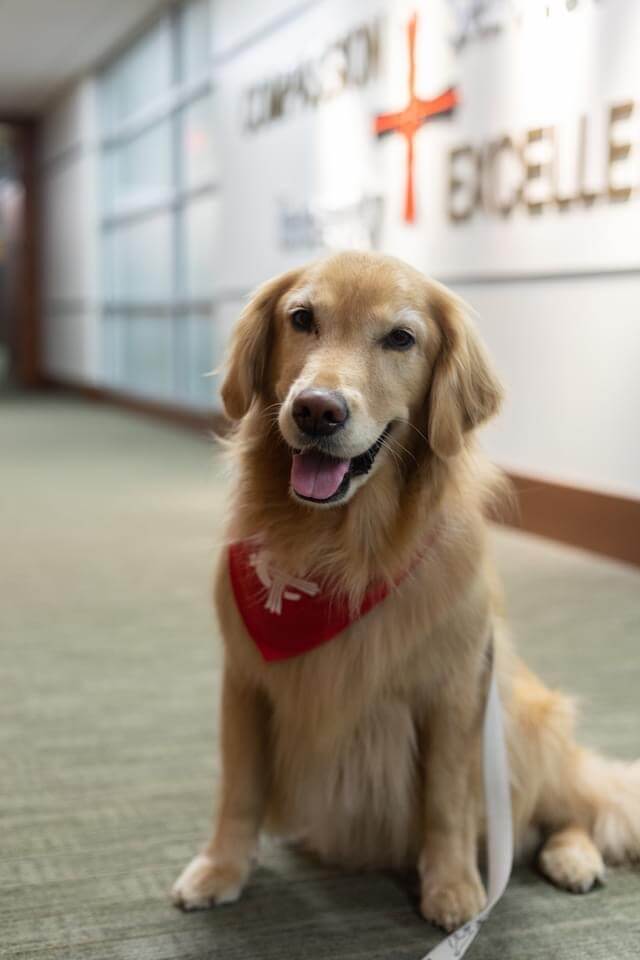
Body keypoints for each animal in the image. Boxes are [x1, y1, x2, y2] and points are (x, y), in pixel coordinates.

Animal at [171, 253, 640, 928]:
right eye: (301, 319)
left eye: (400, 338)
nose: (317, 410)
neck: (341, 554)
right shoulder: (247, 681)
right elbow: (239, 788)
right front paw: (220, 868)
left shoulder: (453, 694)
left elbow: (446, 801)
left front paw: (453, 887)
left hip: (530, 718)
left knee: (567, 806)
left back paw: (572, 856)